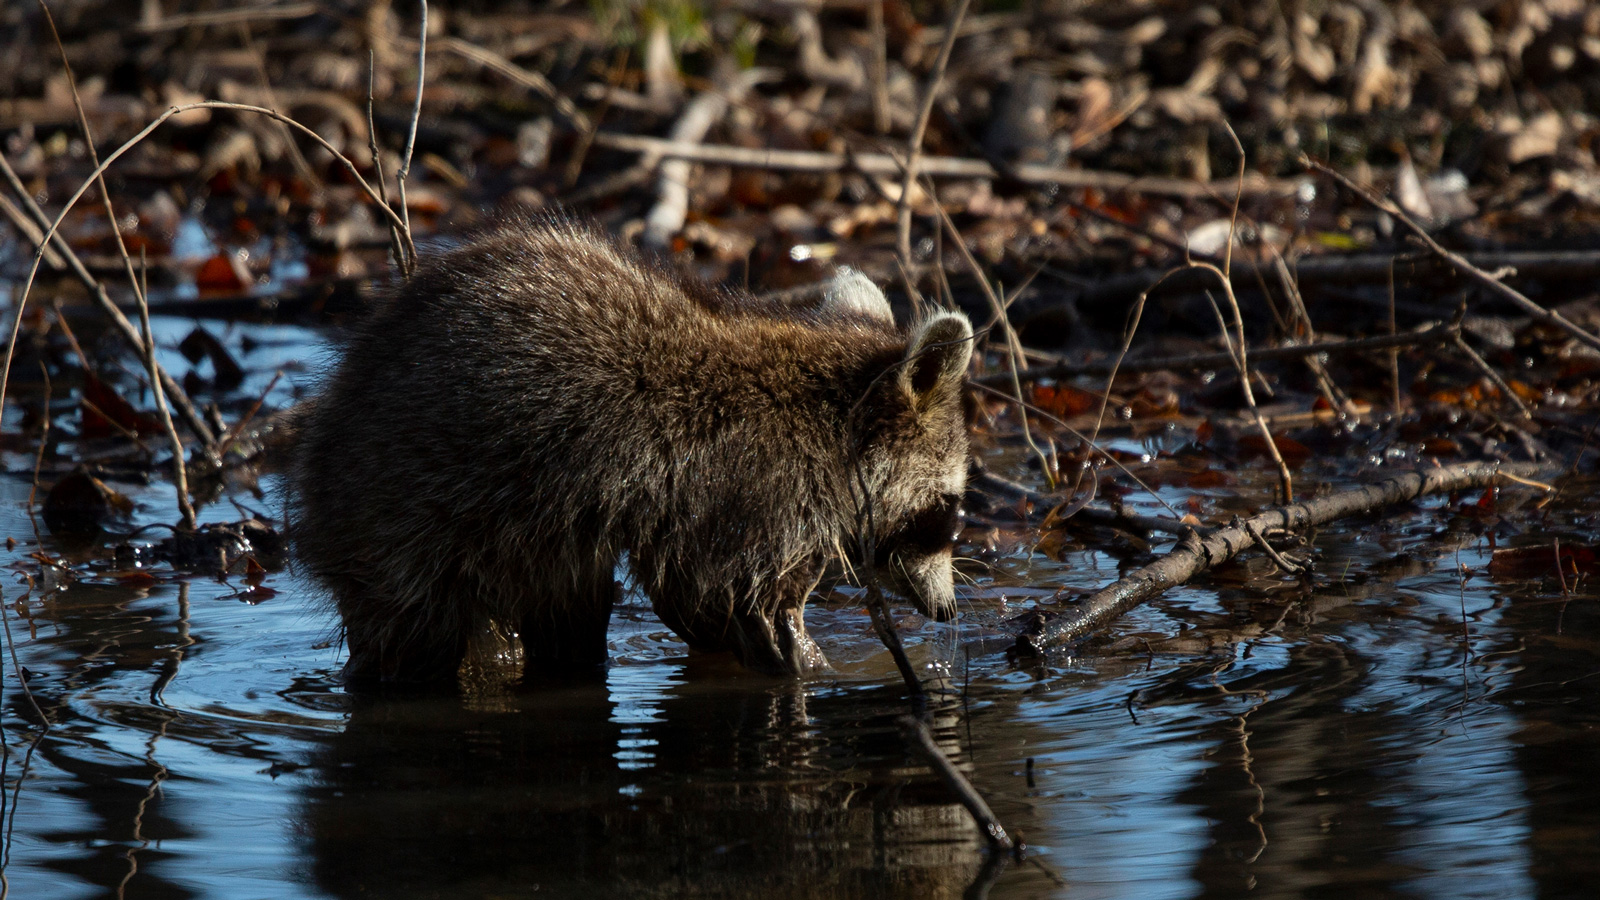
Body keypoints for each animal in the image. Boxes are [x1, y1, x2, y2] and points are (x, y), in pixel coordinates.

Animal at [292, 219, 973, 683]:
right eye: (953, 511)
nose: (947, 613)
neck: (835, 418)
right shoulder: (757, 494)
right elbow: (742, 604)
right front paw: (811, 670)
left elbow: (699, 606)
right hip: (406, 512)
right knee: (415, 629)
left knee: (566, 607)